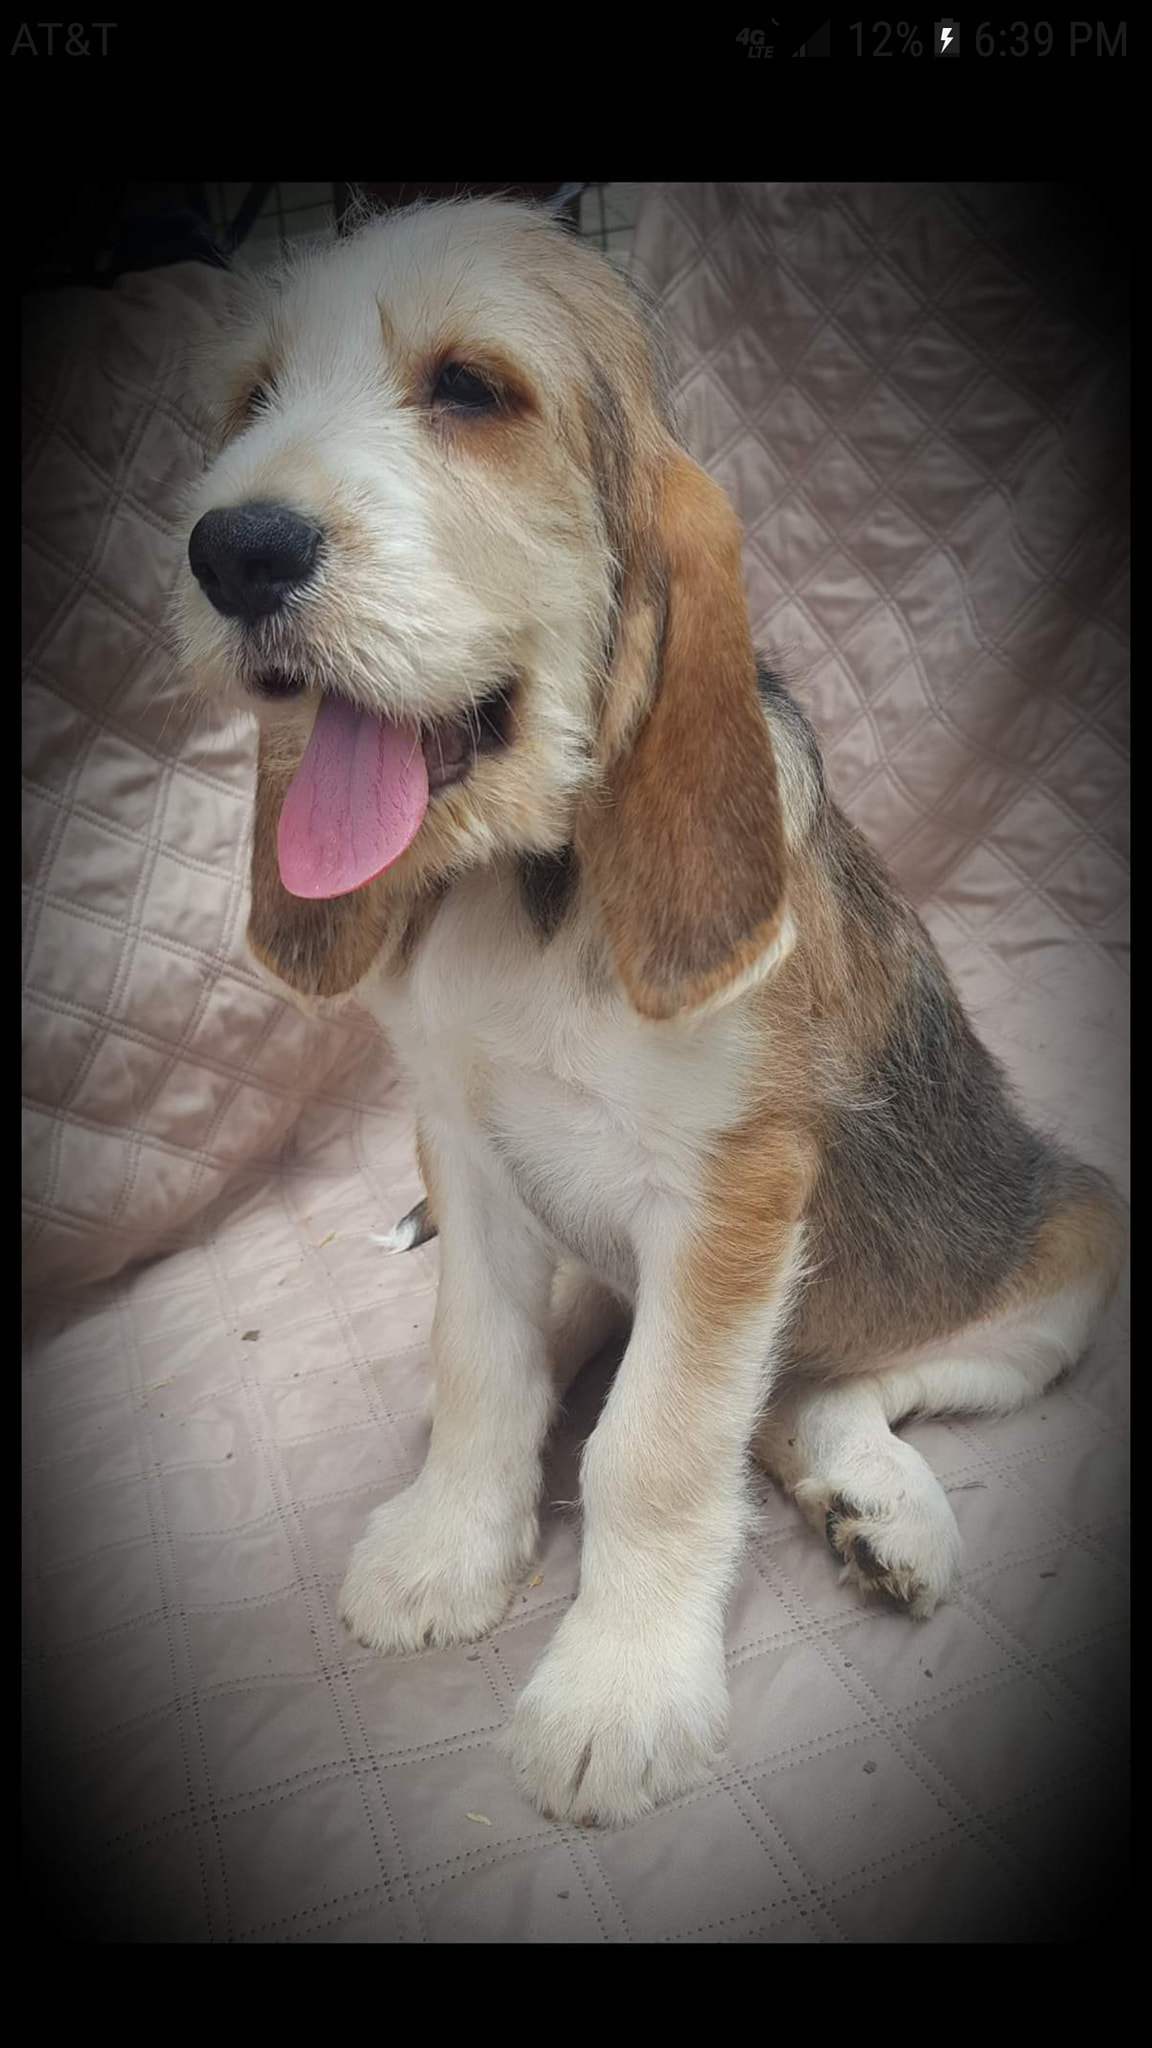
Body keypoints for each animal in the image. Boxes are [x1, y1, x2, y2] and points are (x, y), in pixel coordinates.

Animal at [177, 195, 1123, 1826]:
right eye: (250, 401)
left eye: (472, 389)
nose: (231, 549)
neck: (523, 880)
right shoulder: (464, 1151)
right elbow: (480, 1370)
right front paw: (451, 1549)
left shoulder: (729, 1203)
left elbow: (660, 1447)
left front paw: (621, 1687)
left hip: (1061, 1268)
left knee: (820, 1390)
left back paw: (882, 1506)